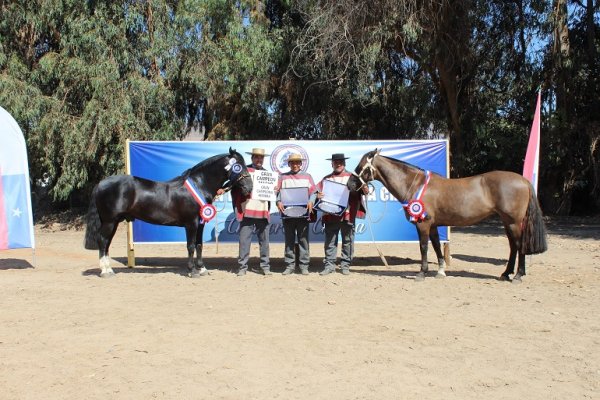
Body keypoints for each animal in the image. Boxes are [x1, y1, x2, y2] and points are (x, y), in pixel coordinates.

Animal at [84, 148, 253, 278]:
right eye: (239, 166)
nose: (249, 187)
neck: (199, 185)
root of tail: (100, 183)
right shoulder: (191, 224)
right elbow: (191, 246)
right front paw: (192, 271)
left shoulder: (200, 223)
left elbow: (199, 245)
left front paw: (202, 269)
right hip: (109, 221)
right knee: (102, 241)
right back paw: (105, 271)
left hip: (113, 222)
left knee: (106, 243)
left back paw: (109, 269)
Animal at [346, 148, 548, 282]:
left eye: (361, 165)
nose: (350, 184)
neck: (416, 185)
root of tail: (523, 180)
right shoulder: (434, 225)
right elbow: (436, 247)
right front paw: (440, 272)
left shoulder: (423, 224)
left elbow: (423, 247)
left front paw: (421, 273)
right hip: (507, 222)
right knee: (513, 247)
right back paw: (506, 273)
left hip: (514, 222)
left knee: (519, 246)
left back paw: (518, 275)